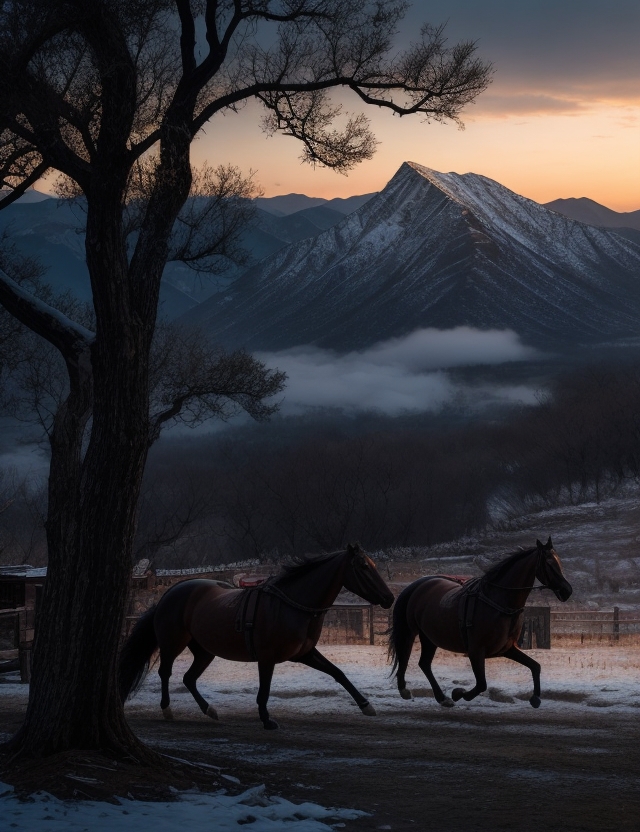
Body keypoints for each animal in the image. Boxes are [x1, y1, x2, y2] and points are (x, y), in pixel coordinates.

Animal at [117, 544, 392, 724]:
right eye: (362, 566)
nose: (389, 598)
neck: (289, 605)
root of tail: (169, 595)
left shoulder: (304, 654)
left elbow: (338, 673)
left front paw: (366, 705)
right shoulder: (267, 657)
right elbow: (265, 687)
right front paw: (266, 718)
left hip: (204, 651)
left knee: (189, 678)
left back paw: (210, 710)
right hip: (172, 643)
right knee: (166, 673)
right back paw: (167, 710)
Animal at [388, 540, 572, 708]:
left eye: (559, 562)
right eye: (549, 564)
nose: (567, 591)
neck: (498, 602)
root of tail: (417, 584)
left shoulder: (506, 649)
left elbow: (535, 666)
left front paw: (535, 698)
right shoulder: (476, 651)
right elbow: (481, 684)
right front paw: (459, 693)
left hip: (429, 637)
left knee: (424, 664)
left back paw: (441, 698)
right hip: (409, 631)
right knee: (404, 655)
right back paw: (404, 689)